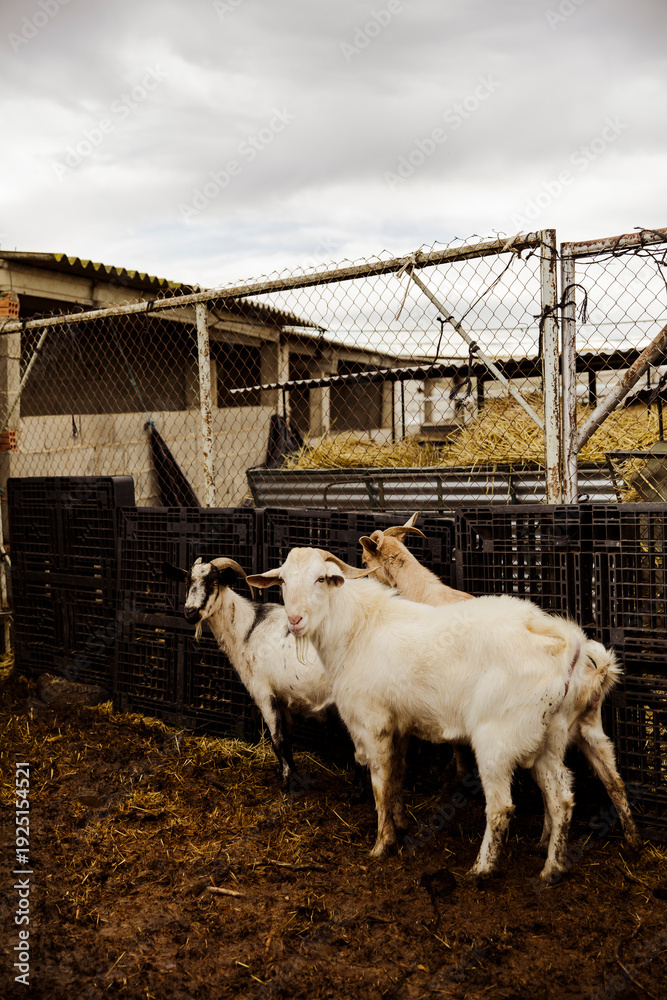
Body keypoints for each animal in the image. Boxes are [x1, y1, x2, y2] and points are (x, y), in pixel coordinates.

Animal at [163, 557, 333, 786]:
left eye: (214, 582)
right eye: (187, 580)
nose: (190, 612)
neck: (248, 629)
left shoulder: (263, 691)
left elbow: (278, 740)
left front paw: (287, 780)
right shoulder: (284, 696)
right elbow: (288, 737)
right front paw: (293, 776)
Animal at [247, 548, 640, 882]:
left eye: (320, 578)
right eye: (282, 581)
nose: (295, 620)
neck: (358, 629)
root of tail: (566, 645)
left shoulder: (373, 723)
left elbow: (380, 784)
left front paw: (381, 844)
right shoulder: (399, 726)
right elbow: (397, 777)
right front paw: (401, 826)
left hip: (497, 739)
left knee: (502, 806)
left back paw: (482, 869)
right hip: (561, 734)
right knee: (578, 793)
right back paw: (568, 861)